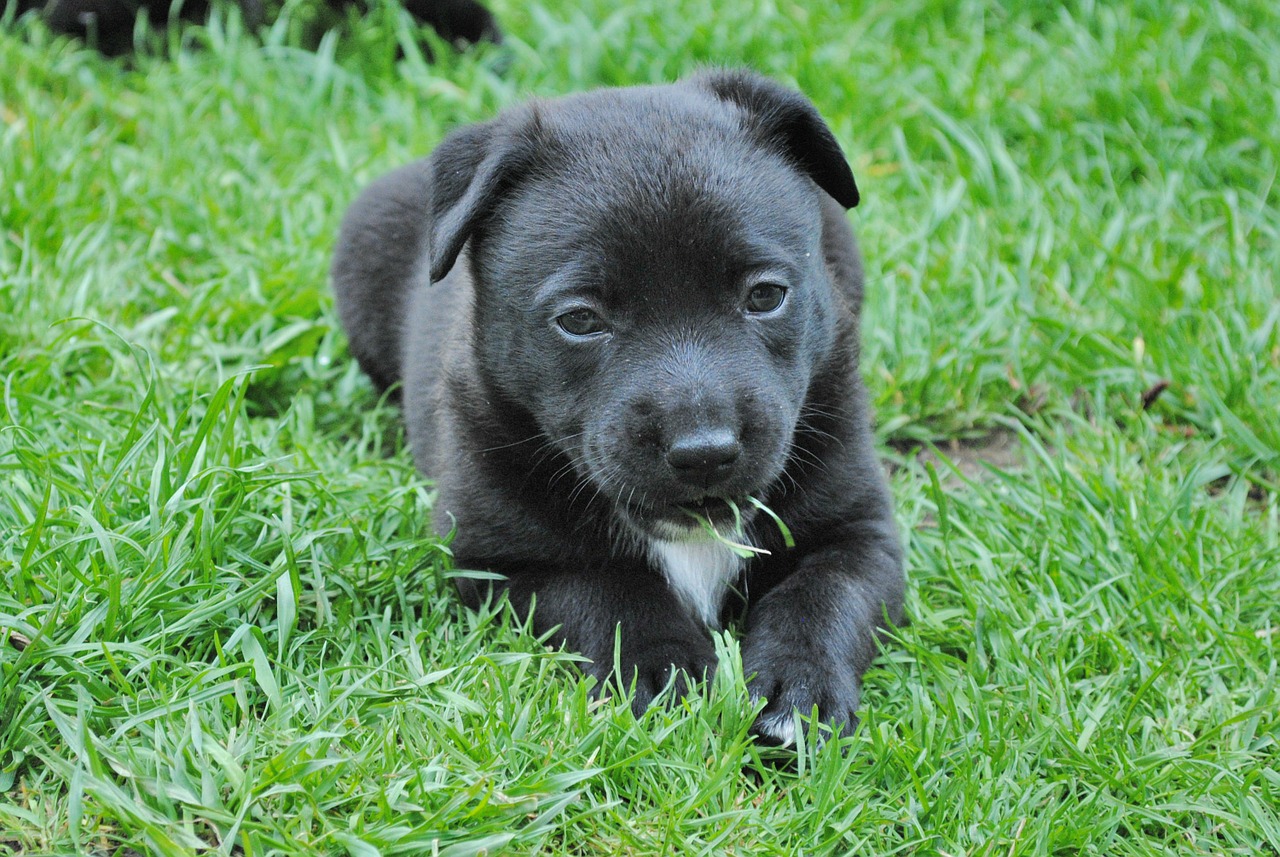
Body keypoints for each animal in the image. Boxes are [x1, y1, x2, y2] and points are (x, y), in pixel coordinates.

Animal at [335, 70, 906, 746]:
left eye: (766, 295)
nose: (704, 453)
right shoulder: (499, 561)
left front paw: (801, 690)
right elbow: (606, 592)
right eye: (580, 320)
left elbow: (823, 595)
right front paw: (666, 675)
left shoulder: (860, 530)